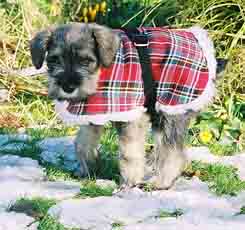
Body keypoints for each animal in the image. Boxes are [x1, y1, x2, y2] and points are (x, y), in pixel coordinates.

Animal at [29, 22, 221, 189]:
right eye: (54, 60)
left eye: (85, 61)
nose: (68, 87)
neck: (101, 71)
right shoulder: (93, 113)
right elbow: (82, 143)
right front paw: (89, 169)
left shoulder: (131, 116)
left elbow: (129, 153)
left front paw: (130, 182)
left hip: (171, 109)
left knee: (173, 151)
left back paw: (161, 182)